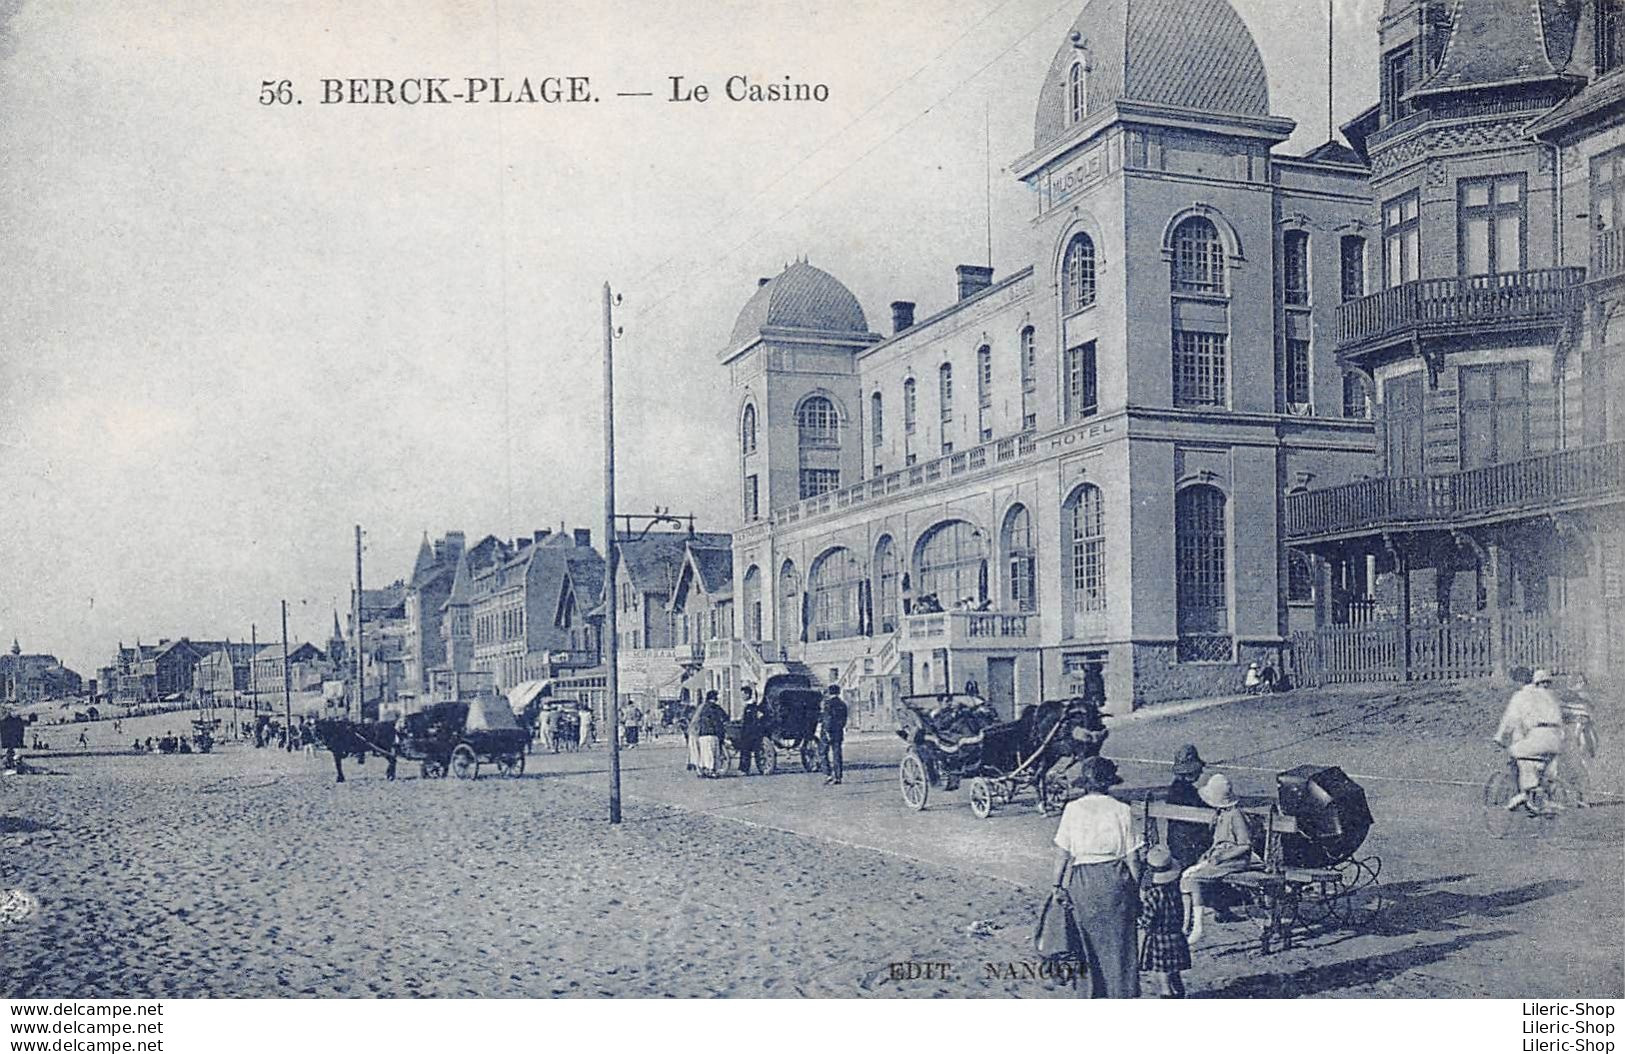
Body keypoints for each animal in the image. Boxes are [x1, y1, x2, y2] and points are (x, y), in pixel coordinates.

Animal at [897, 695, 1111, 818]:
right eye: (1080, 715)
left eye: (1095, 715)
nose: (1094, 728)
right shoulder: (1079, 751)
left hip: (1046, 755)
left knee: (1033, 777)